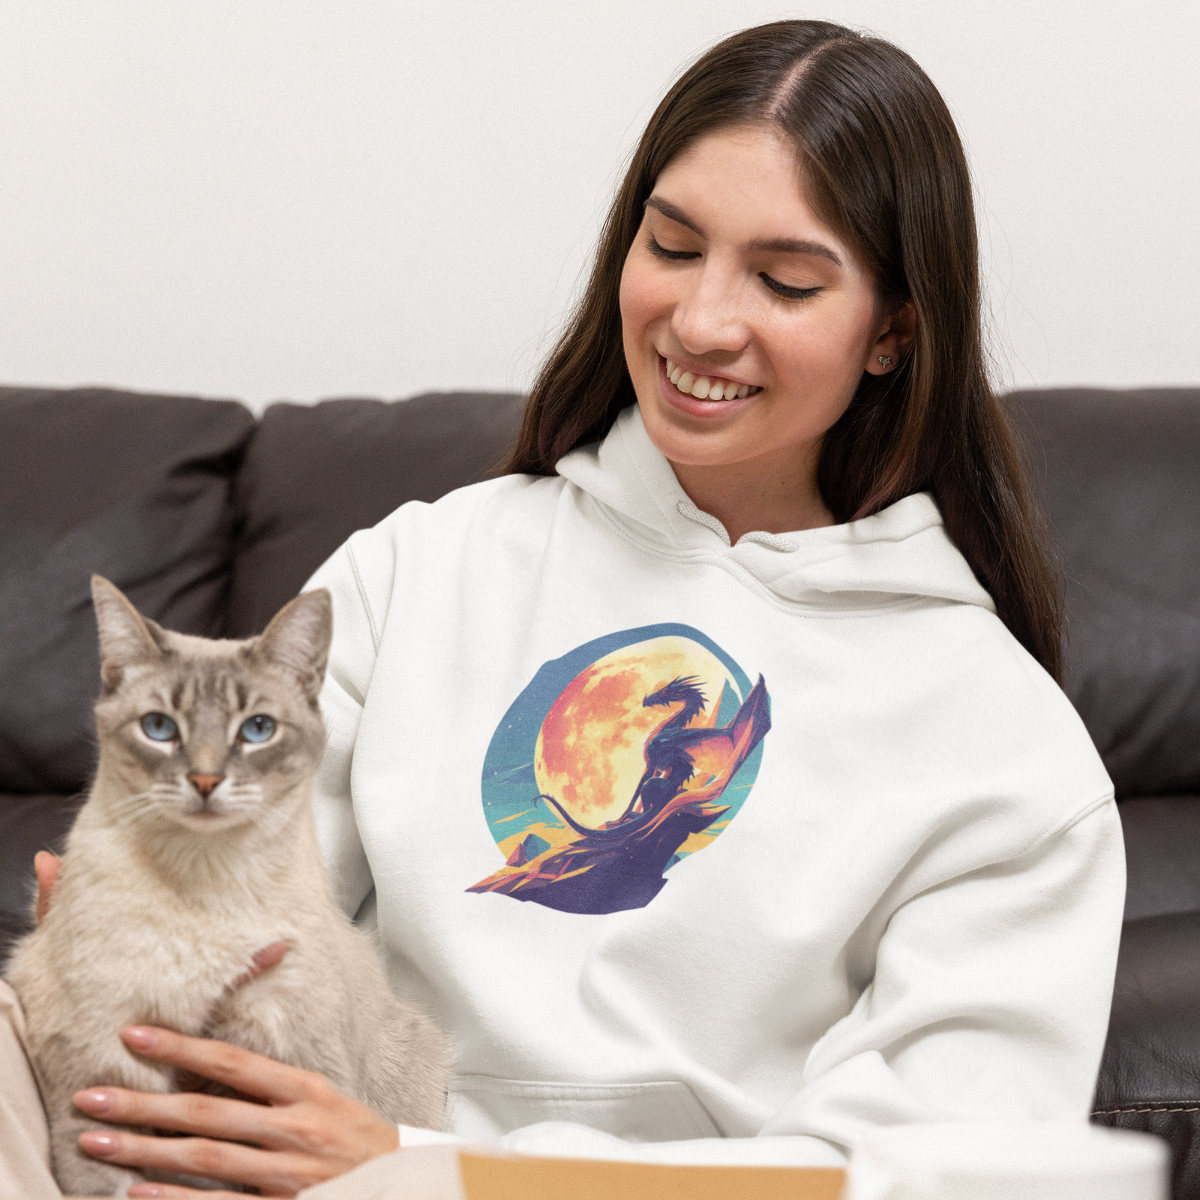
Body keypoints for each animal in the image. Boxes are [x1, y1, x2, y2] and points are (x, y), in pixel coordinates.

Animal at [4, 576, 451, 1195]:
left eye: (257, 730)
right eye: (159, 728)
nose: (206, 780)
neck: (206, 884)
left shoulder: (288, 1069)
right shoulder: (96, 1074)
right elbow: (107, 1180)